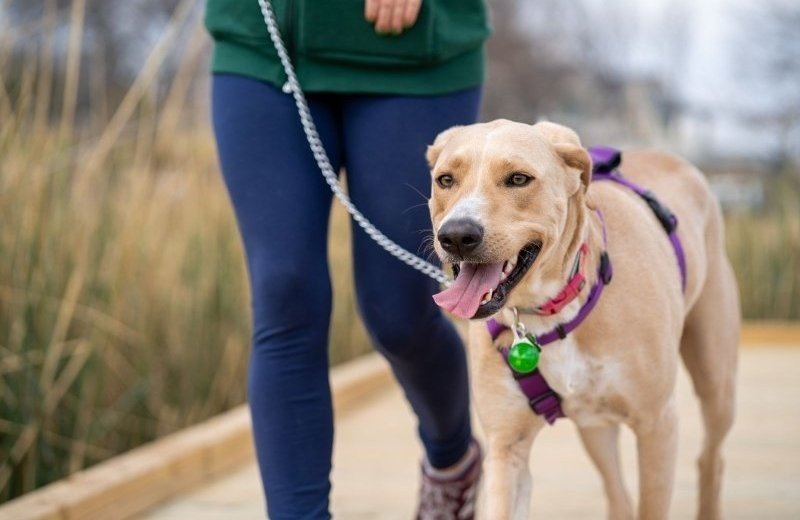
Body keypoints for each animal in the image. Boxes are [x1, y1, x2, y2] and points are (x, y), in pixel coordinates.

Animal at [428, 120, 740, 516]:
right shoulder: (507, 446)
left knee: (711, 457)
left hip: (717, 384)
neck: (547, 312)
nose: (456, 235)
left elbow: (652, 506)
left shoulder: (657, 425)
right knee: (617, 491)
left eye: (518, 179)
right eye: (445, 179)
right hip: (595, 426)